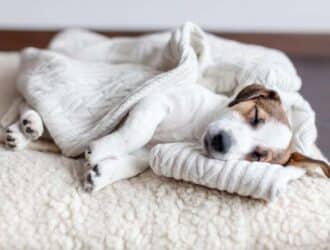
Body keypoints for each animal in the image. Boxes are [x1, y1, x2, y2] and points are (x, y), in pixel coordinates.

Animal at [3, 83, 330, 190]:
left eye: (258, 156)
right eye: (256, 116)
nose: (222, 143)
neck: (197, 128)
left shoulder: (150, 150)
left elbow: (135, 162)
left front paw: (102, 173)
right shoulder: (153, 103)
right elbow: (134, 133)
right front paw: (103, 148)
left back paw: (24, 132)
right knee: (23, 104)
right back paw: (29, 122)